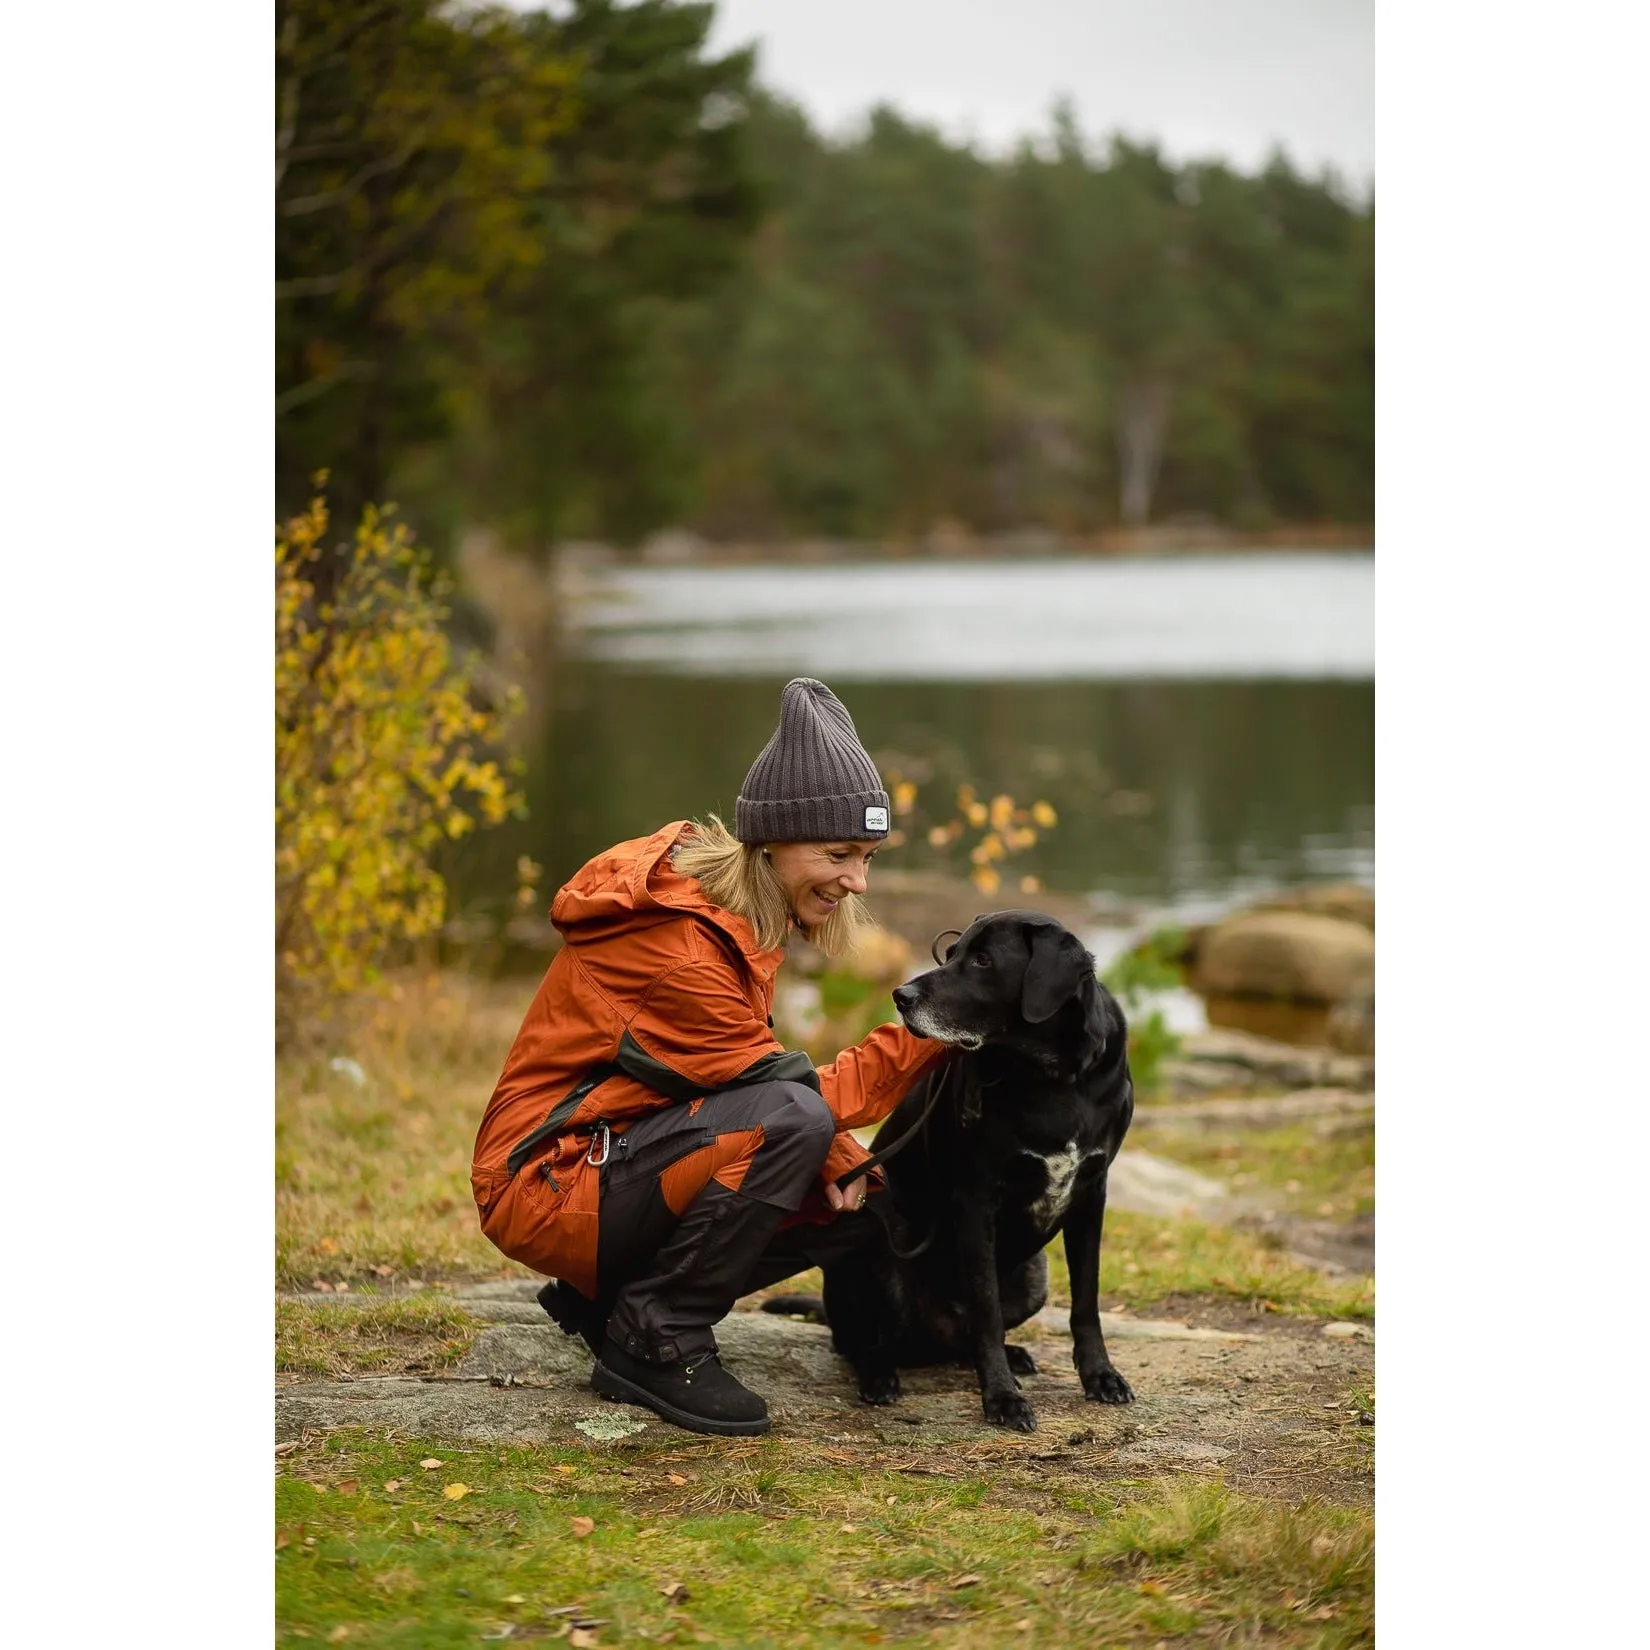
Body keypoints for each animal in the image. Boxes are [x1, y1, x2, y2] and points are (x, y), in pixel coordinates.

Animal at [765, 917, 1128, 1432]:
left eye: (982, 960)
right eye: (952, 953)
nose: (901, 995)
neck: (1051, 1075)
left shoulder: (1091, 1194)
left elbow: (1086, 1301)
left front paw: (1100, 1376)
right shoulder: (975, 1201)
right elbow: (986, 1309)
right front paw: (1002, 1399)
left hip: (1034, 1277)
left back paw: (1009, 1355)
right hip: (883, 1265)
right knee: (862, 1342)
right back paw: (880, 1376)